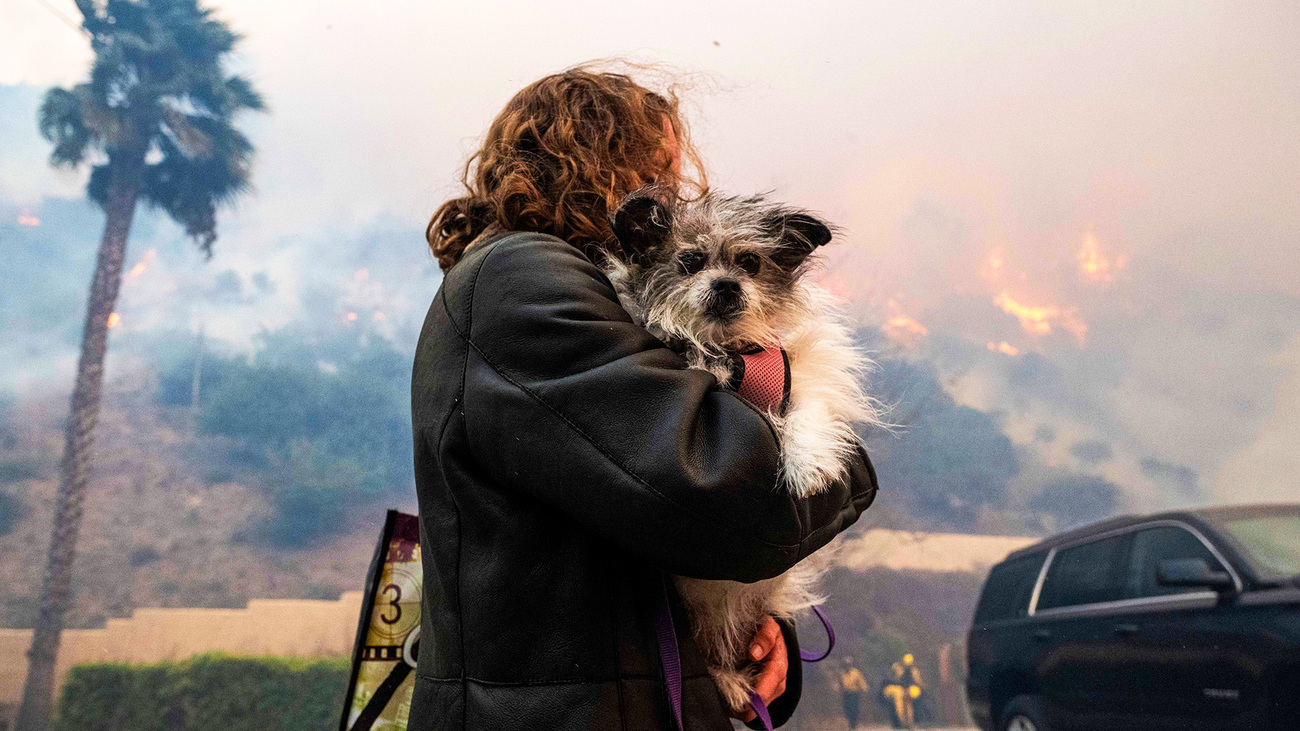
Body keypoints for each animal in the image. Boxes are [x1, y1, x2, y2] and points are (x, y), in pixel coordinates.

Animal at [603, 188, 878, 712]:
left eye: (750, 262)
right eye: (690, 261)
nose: (728, 285)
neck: (729, 350)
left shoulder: (800, 373)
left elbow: (808, 409)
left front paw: (809, 463)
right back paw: (729, 682)